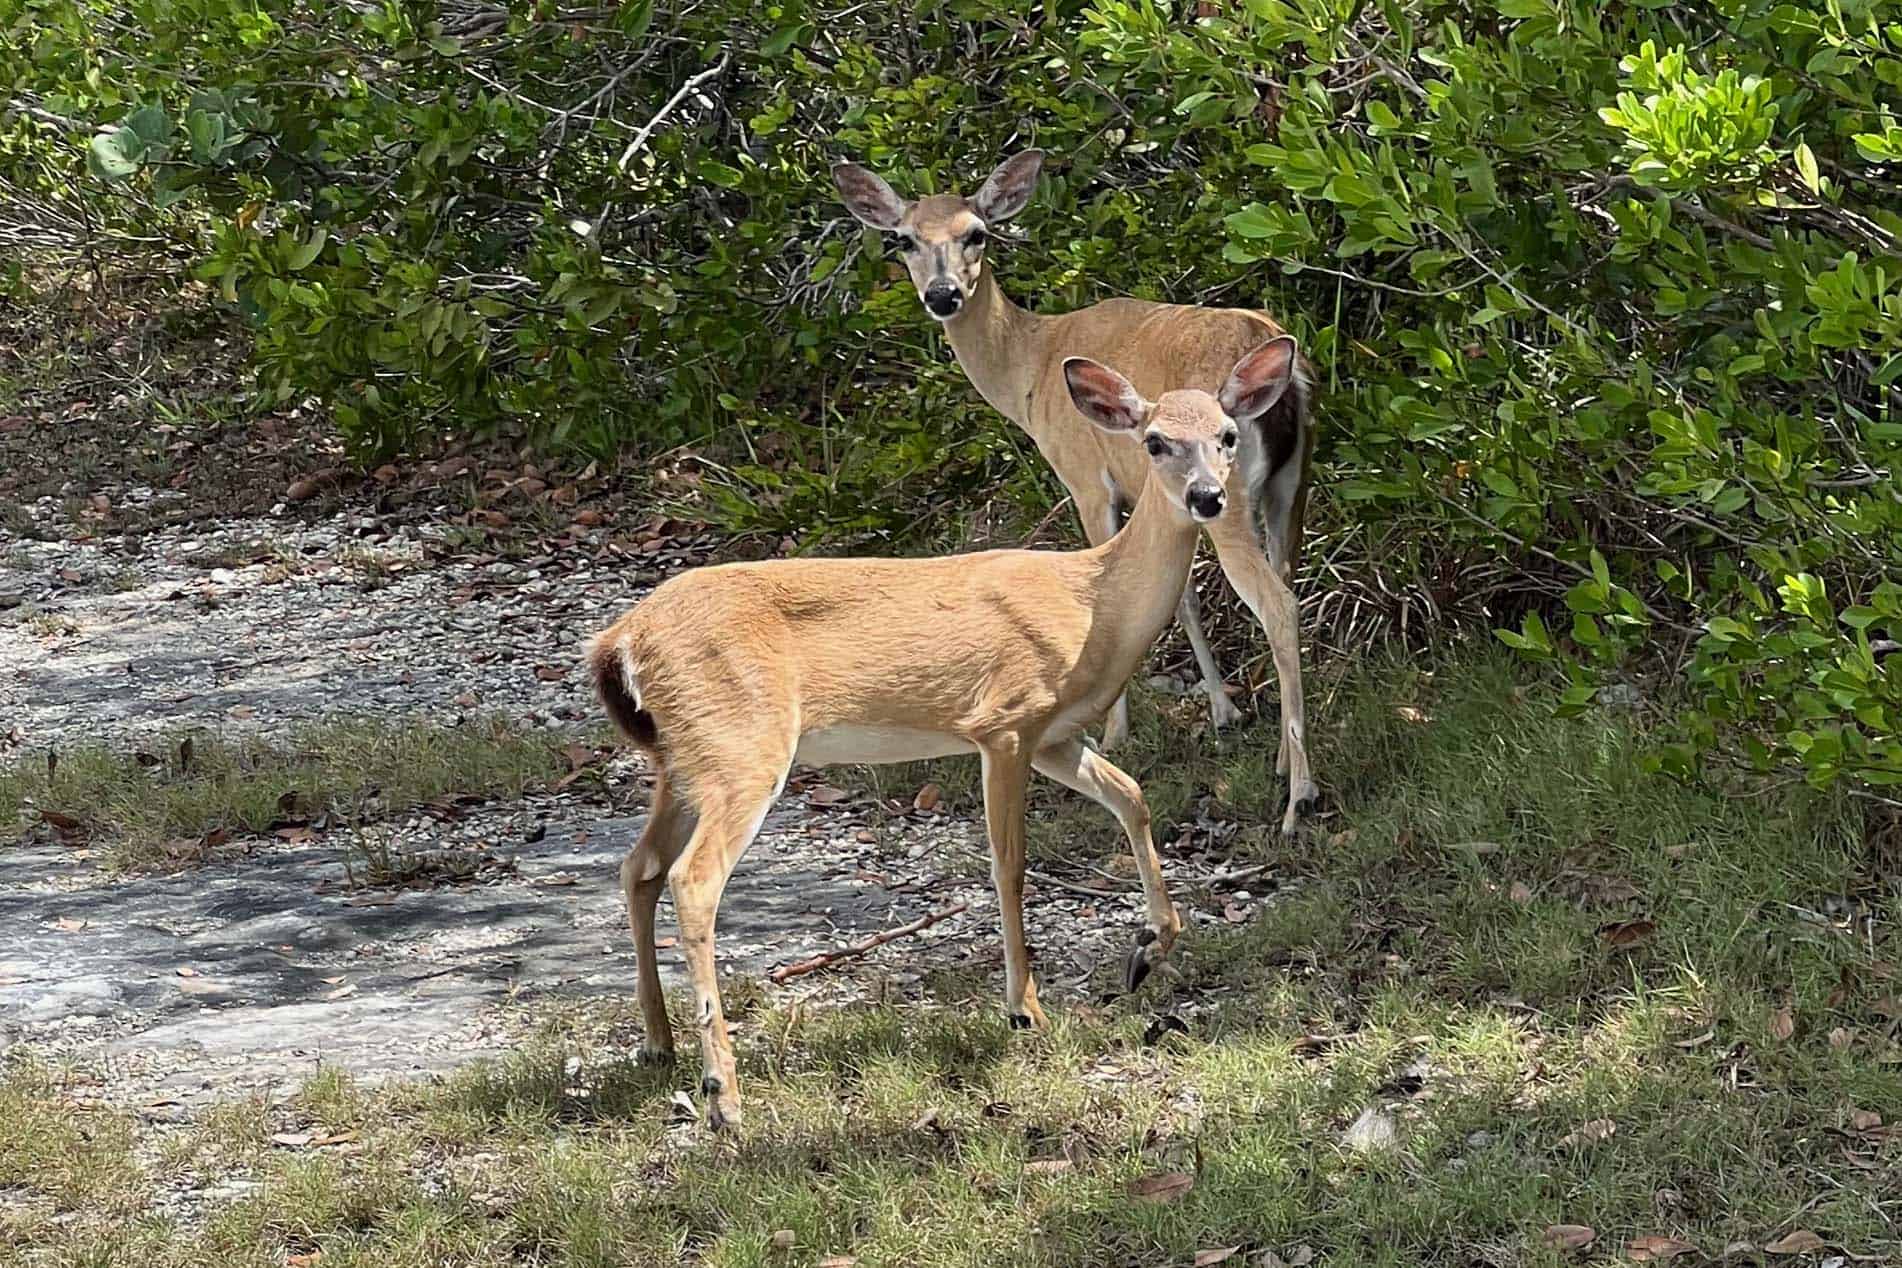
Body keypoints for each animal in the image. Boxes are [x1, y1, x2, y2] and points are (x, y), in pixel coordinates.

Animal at [585, 336, 1300, 1133]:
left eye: (1227, 436)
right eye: (1154, 441)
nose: (1207, 496)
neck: (1095, 605)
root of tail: (620, 641)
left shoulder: (1054, 735)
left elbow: (1133, 795)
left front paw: (1147, 950)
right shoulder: (1004, 722)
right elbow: (1010, 864)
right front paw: (1025, 1008)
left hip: (684, 759)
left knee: (639, 867)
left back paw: (659, 1044)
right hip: (743, 744)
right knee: (693, 879)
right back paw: (723, 1092)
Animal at [833, 149, 1323, 832]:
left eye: (976, 233)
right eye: (902, 239)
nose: (943, 294)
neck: (1030, 371)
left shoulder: (1087, 479)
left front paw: (1115, 732)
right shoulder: (1159, 493)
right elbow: (1182, 596)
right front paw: (1224, 713)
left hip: (1227, 499)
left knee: (1277, 603)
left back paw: (1300, 797)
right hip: (1289, 486)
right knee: (1287, 582)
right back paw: (1281, 759)